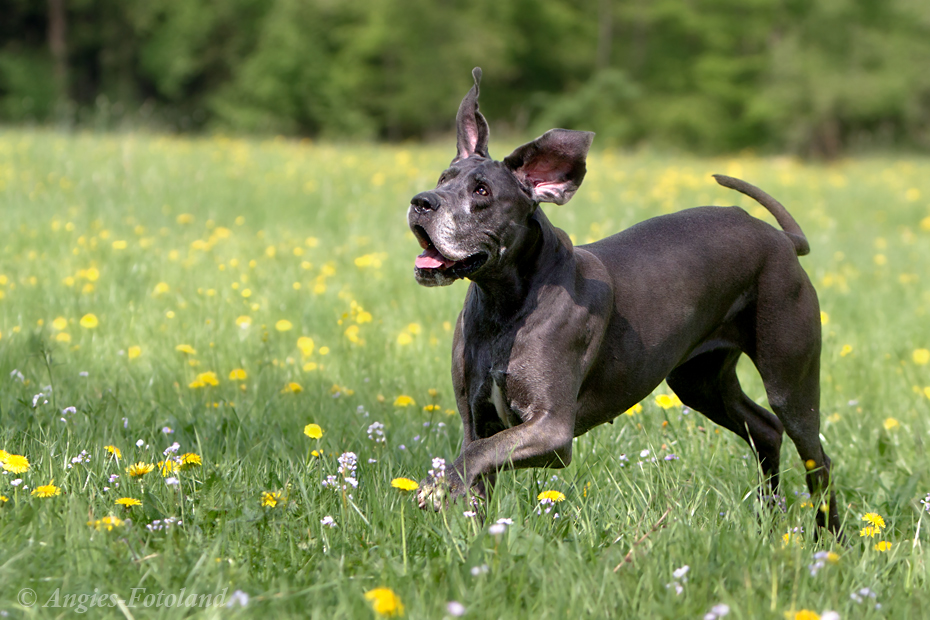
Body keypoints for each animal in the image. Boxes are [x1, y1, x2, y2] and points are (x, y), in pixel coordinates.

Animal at [410, 66, 836, 532]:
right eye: (443, 180)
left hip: (790, 380)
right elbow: (475, 465)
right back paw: (769, 517)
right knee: (765, 430)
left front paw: (434, 488)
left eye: (482, 192)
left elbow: (473, 456)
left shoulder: (551, 431)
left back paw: (830, 536)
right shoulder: (478, 420)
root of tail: (781, 239)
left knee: (816, 457)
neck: (504, 307)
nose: (421, 202)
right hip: (701, 382)